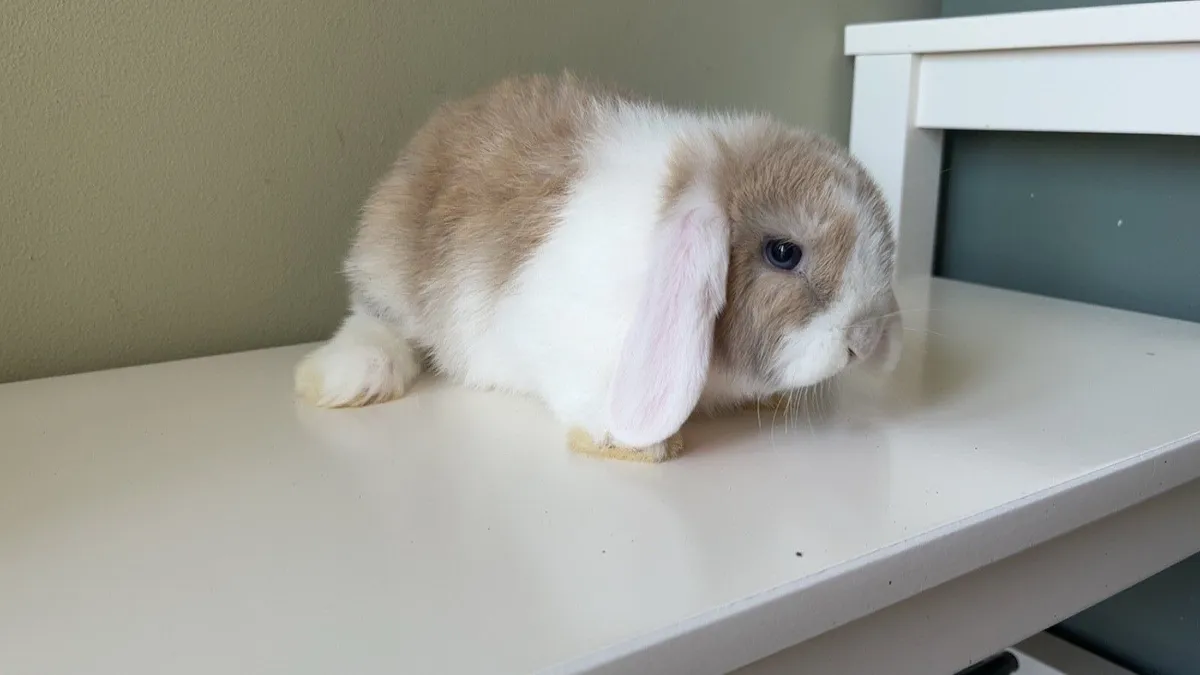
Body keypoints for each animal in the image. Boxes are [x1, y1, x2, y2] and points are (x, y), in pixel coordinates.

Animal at [295, 71, 901, 461]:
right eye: (783, 253)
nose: (865, 340)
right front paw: (633, 443)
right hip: (389, 260)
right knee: (377, 319)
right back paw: (348, 379)